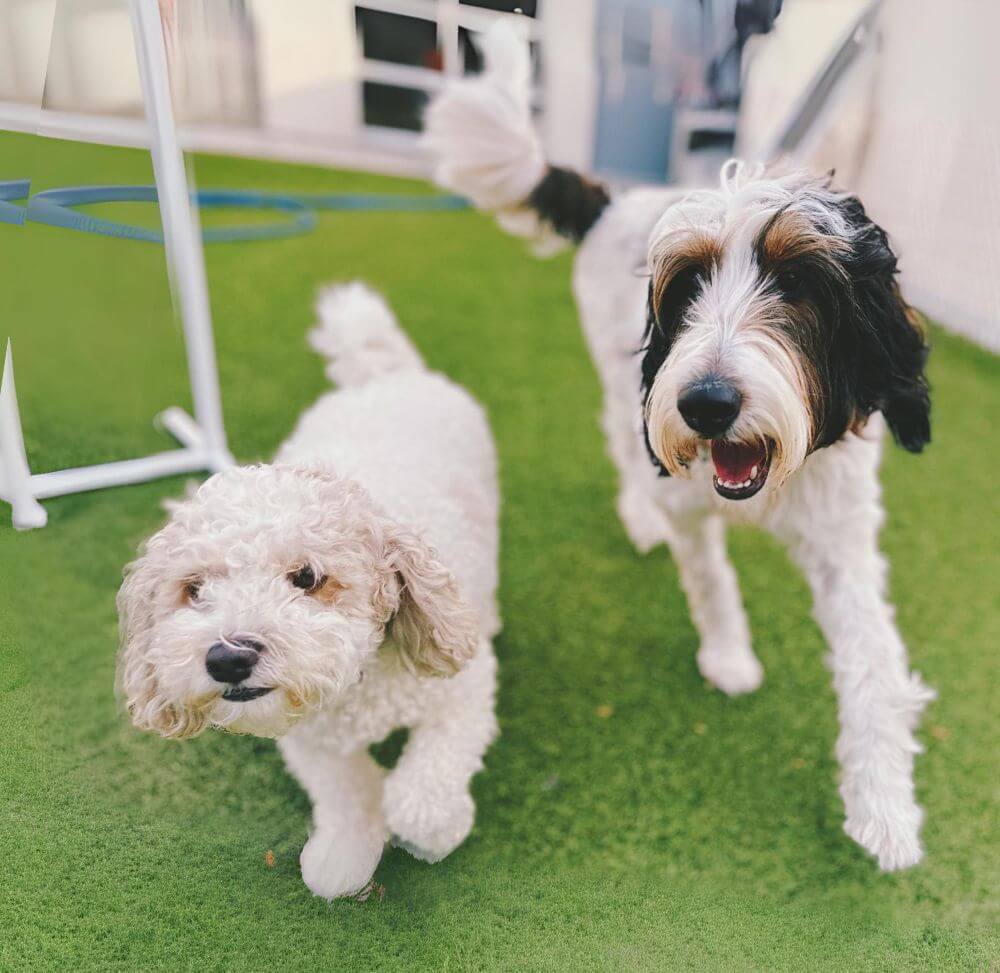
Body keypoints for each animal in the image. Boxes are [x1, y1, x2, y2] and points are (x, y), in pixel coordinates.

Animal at [119, 280, 500, 896]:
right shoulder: (307, 737)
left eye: (308, 578)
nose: (227, 658)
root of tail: (378, 375)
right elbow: (347, 793)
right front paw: (346, 854)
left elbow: (422, 794)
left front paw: (434, 835)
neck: (357, 685)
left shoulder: (463, 689)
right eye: (194, 589)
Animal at [426, 24, 932, 872]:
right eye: (688, 285)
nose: (706, 404)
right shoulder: (690, 503)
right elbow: (712, 580)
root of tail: (615, 200)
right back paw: (638, 516)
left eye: (799, 285)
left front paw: (884, 807)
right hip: (617, 380)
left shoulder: (842, 536)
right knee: (621, 442)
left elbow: (871, 660)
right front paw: (729, 657)